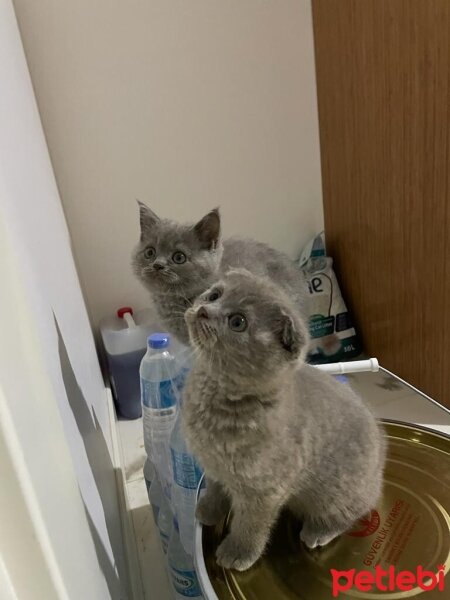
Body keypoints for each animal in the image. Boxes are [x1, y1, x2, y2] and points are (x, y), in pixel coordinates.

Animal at [181, 270, 384, 572]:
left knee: (349, 514)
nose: (204, 310)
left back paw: (318, 532)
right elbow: (216, 487)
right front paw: (209, 508)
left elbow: (251, 525)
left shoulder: (265, 491)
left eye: (238, 322)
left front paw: (238, 552)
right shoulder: (214, 465)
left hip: (339, 494)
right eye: (215, 294)